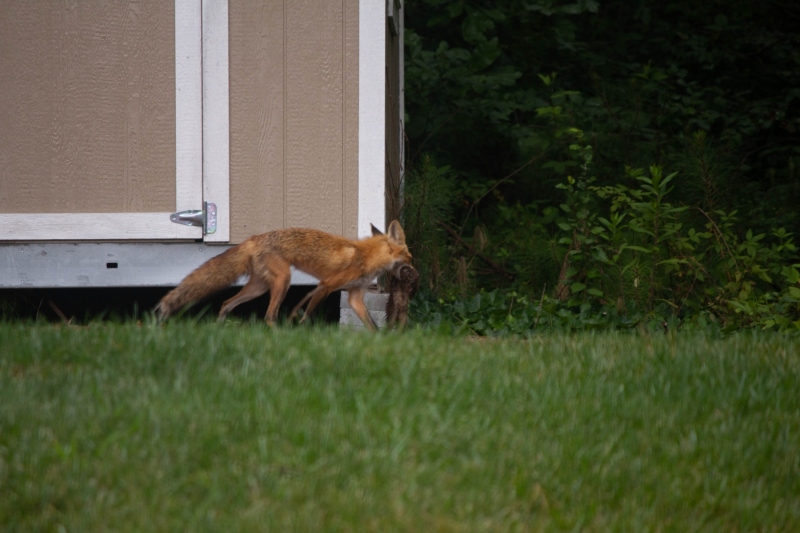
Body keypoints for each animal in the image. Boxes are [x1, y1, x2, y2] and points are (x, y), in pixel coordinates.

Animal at [155, 220, 412, 330]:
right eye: (409, 256)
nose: (414, 266)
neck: (365, 257)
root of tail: (254, 239)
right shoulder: (326, 285)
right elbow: (308, 313)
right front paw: (301, 329)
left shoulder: (355, 297)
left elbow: (371, 324)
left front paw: (380, 340)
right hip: (283, 281)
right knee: (269, 316)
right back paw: (280, 335)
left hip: (259, 287)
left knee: (227, 303)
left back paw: (219, 329)